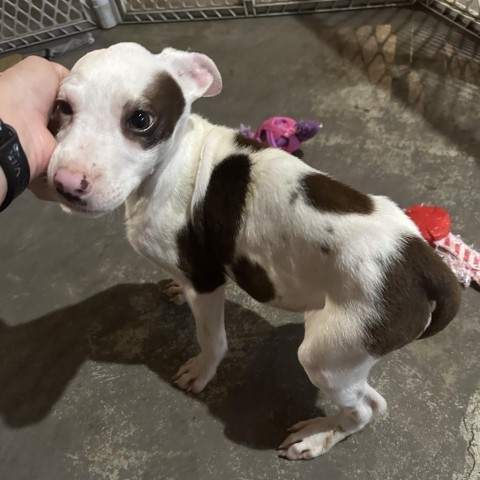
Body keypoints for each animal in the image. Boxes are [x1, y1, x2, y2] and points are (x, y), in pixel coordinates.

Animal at [47, 43, 462, 460]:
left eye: (141, 119)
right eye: (62, 107)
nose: (66, 183)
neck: (173, 160)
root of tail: (425, 264)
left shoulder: (206, 282)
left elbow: (212, 339)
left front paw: (202, 370)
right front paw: (175, 288)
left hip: (329, 355)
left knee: (367, 407)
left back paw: (317, 437)